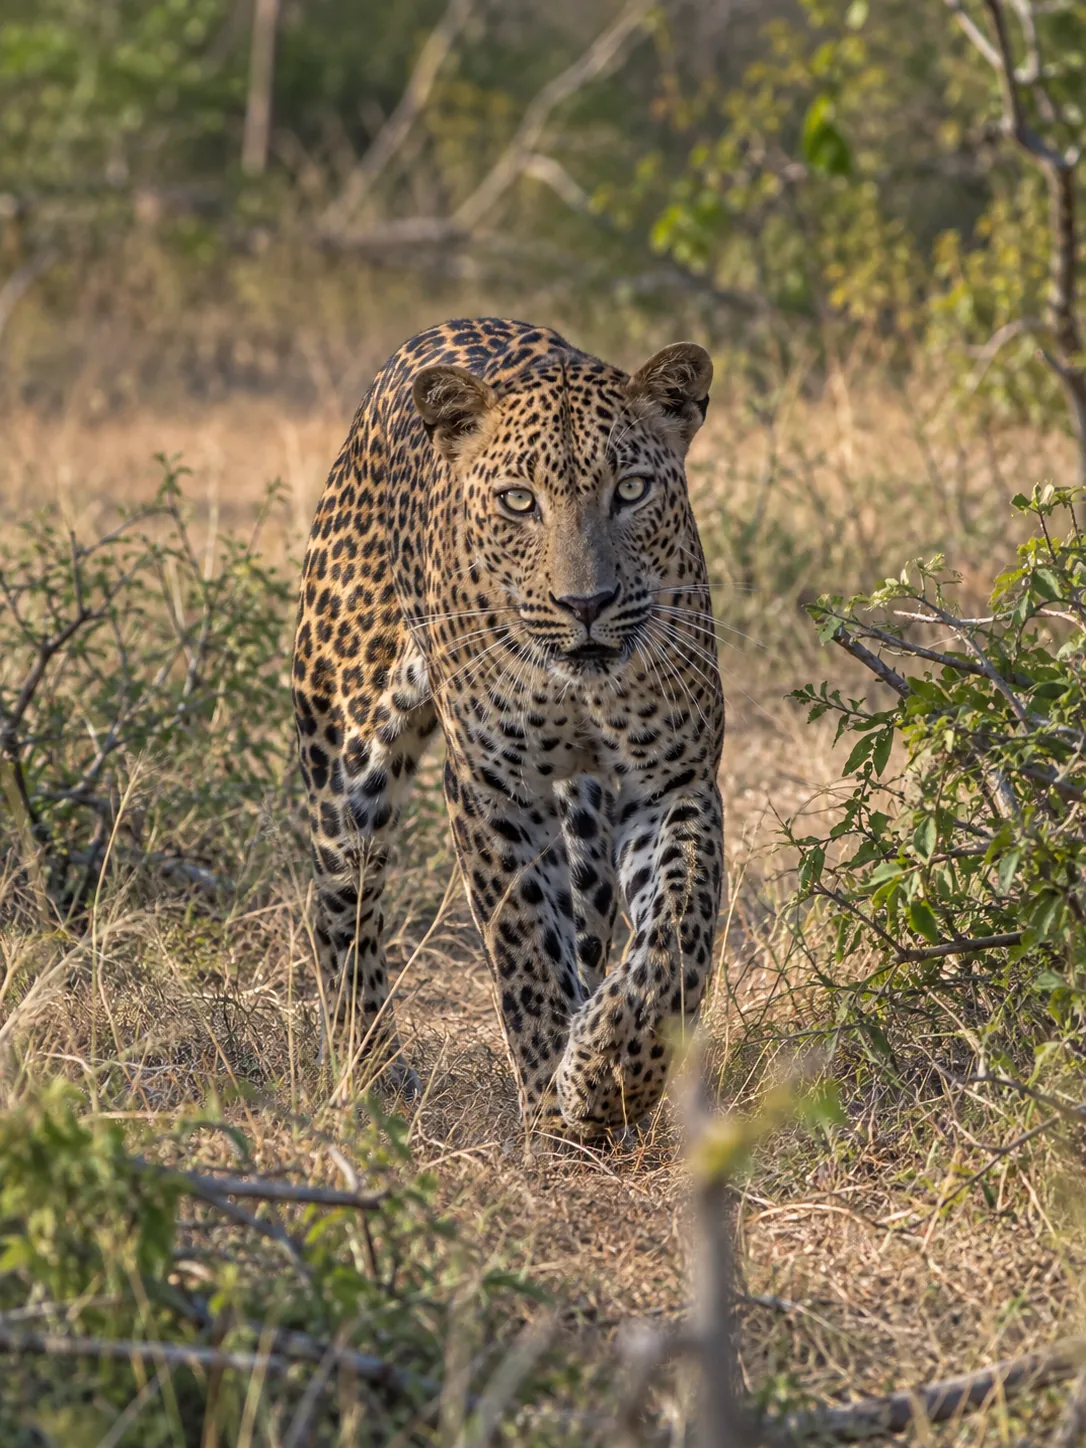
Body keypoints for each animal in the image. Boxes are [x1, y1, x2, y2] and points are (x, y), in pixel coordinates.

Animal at [292, 317, 724, 1137]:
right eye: (519, 501)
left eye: (630, 490)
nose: (585, 603)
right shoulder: (493, 789)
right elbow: (524, 948)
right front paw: (553, 1102)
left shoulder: (674, 780)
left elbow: (679, 931)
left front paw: (608, 1073)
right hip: (341, 751)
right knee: (342, 911)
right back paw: (368, 1080)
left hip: (587, 821)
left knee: (590, 921)